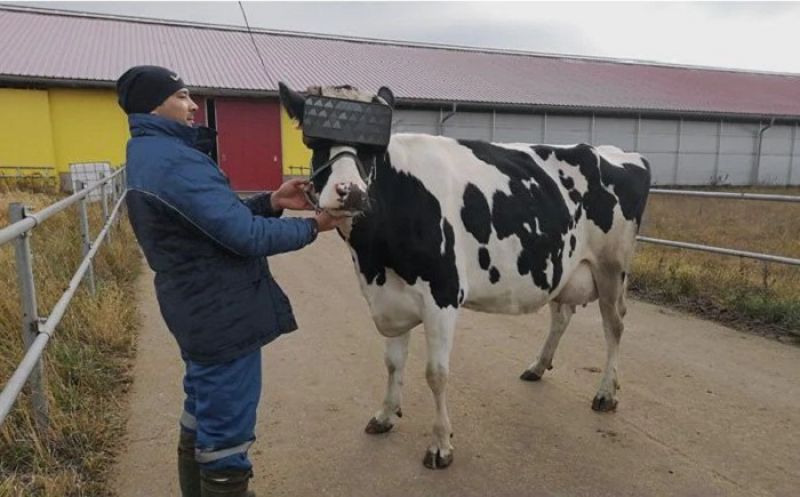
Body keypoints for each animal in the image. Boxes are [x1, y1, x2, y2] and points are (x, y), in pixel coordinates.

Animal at [279, 83, 651, 469]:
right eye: (315, 142)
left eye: (373, 150)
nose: (349, 191)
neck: (375, 259)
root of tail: (618, 153)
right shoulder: (389, 298)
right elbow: (393, 363)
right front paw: (385, 415)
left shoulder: (442, 295)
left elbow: (436, 373)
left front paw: (440, 444)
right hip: (563, 265)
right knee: (562, 314)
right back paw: (538, 366)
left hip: (612, 267)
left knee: (614, 325)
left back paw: (606, 393)